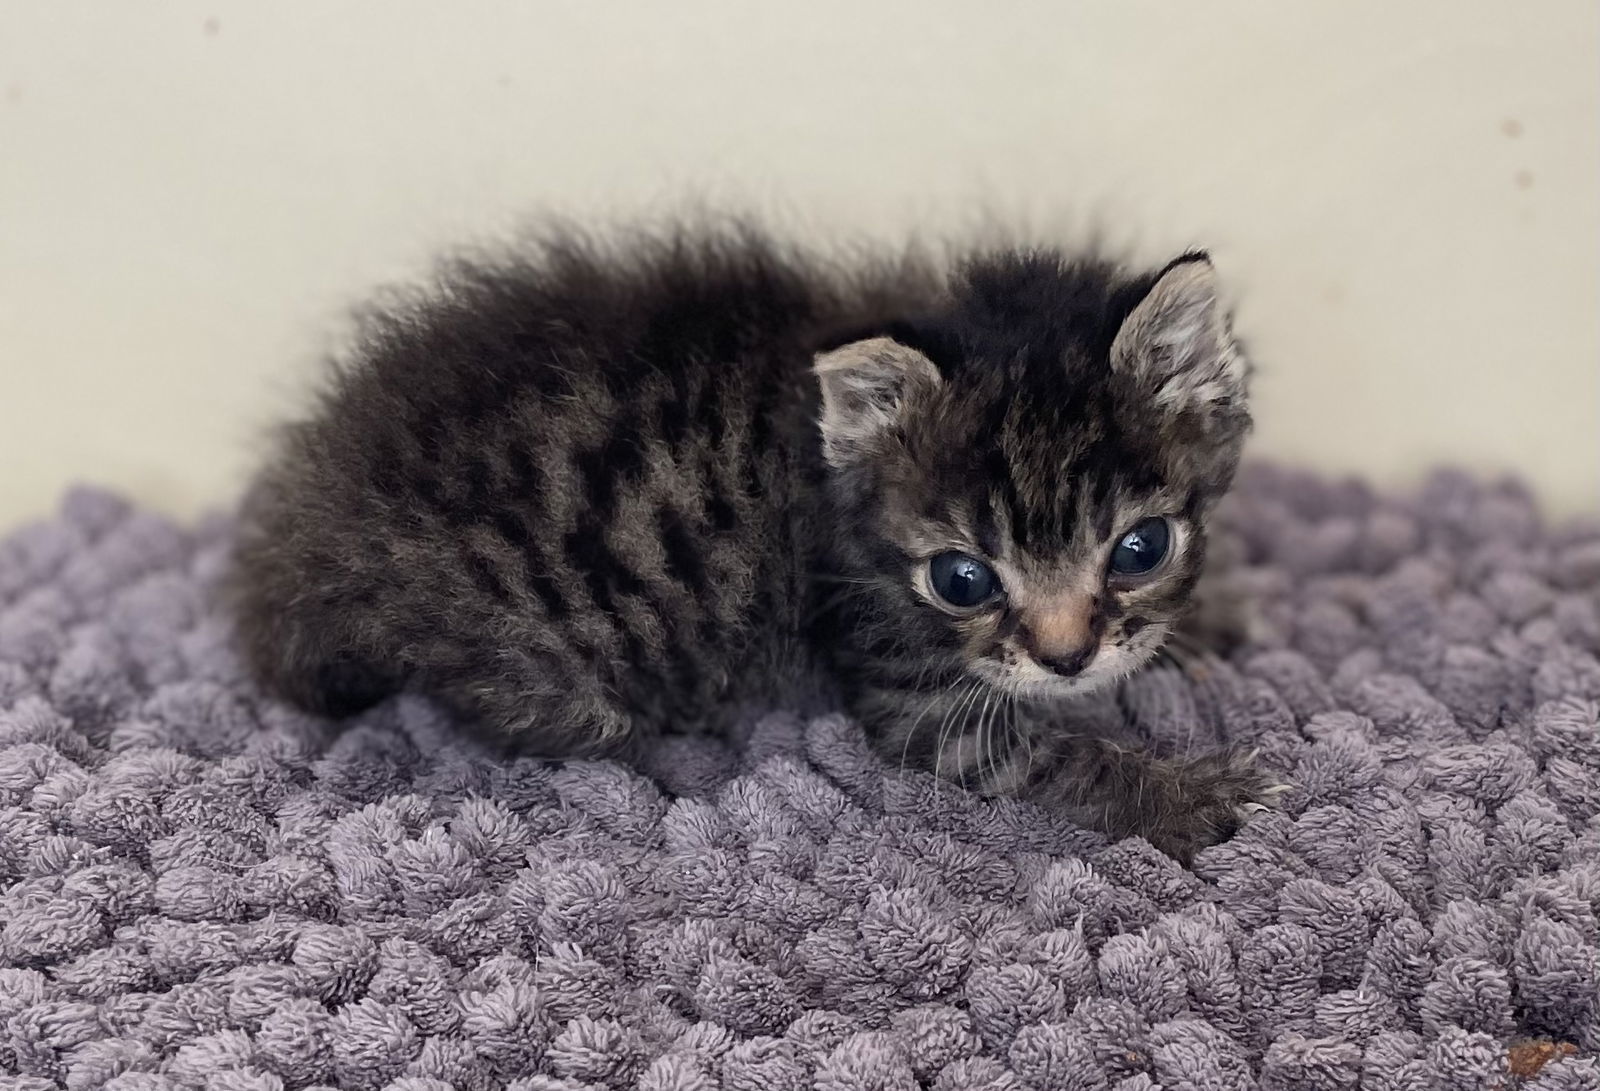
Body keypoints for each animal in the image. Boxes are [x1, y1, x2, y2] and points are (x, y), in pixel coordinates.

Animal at [232, 220, 1286, 857]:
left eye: (1141, 549)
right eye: (961, 578)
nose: (1069, 658)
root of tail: (316, 530)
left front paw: (1212, 618)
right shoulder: (904, 679)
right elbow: (1043, 753)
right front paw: (1188, 798)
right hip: (539, 665)